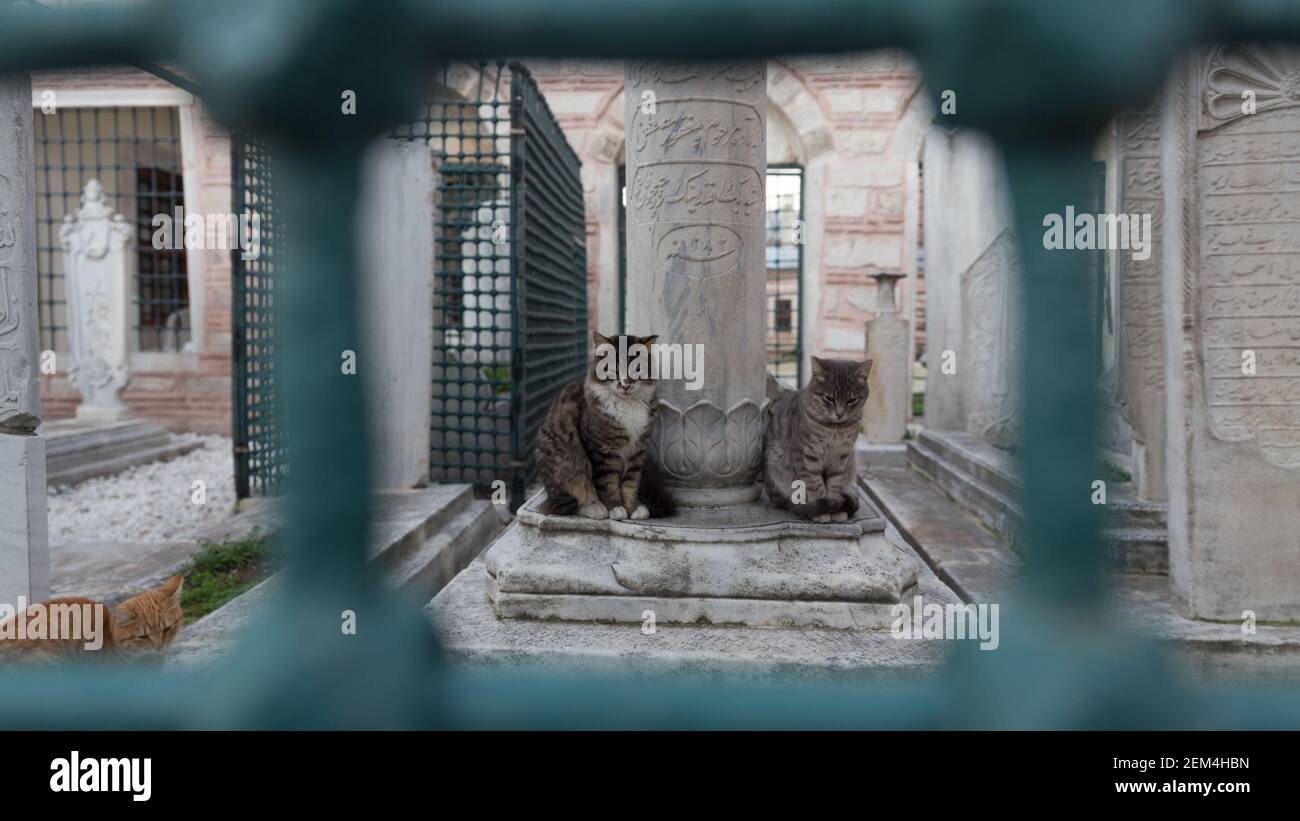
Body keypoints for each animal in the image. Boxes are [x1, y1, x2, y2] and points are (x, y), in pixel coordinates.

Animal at [540, 329, 681, 517]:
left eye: (637, 368)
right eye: (614, 369)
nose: (626, 384)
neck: (627, 404)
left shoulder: (638, 450)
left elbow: (630, 484)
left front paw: (633, 508)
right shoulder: (602, 450)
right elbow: (608, 483)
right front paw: (615, 508)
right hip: (566, 464)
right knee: (567, 504)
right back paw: (595, 508)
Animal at [759, 355, 873, 522]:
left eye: (852, 400)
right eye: (829, 398)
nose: (840, 414)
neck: (835, 428)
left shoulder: (841, 456)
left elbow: (834, 484)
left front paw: (835, 507)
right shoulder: (807, 456)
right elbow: (815, 485)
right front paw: (823, 510)